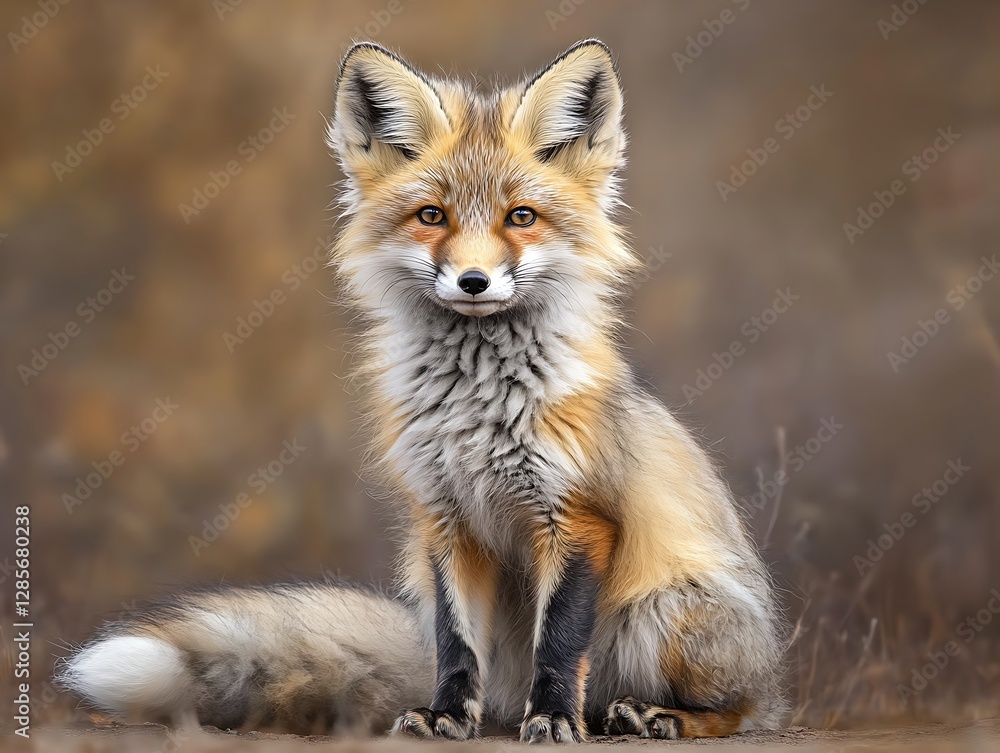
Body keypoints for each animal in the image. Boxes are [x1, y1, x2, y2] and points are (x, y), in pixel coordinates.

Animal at [57, 40, 786, 743]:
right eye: (431, 215)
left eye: (521, 216)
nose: (473, 281)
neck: (475, 410)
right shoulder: (444, 516)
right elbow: (455, 643)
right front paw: (446, 718)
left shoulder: (578, 516)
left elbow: (558, 641)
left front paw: (554, 720)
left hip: (668, 611)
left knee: (746, 711)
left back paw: (658, 716)